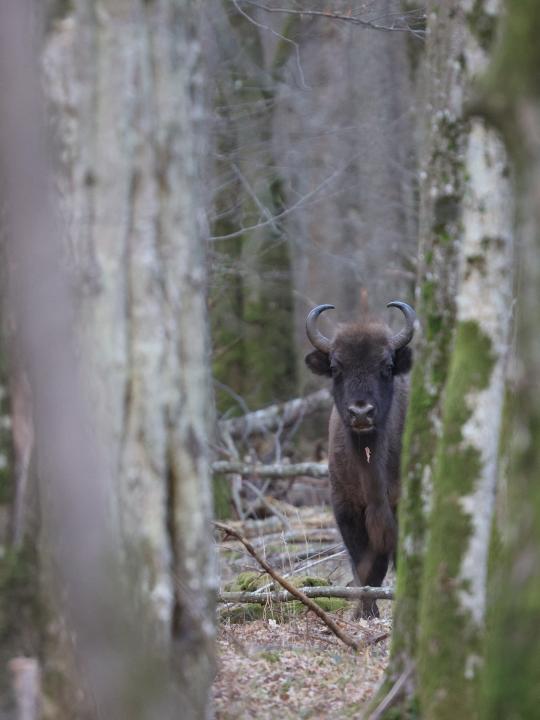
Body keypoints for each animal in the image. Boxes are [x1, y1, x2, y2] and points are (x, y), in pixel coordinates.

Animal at [305, 301, 416, 617]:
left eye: (387, 367)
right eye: (335, 367)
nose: (361, 412)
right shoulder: (346, 508)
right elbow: (366, 567)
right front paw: (366, 612)